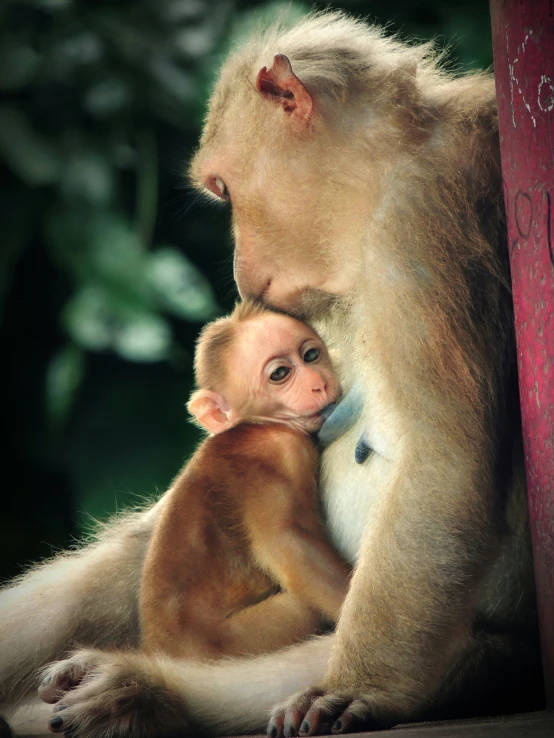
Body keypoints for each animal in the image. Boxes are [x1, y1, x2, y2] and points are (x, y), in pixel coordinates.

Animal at [140, 302, 348, 660]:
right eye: (279, 374)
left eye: (311, 355)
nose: (319, 383)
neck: (257, 424)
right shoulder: (281, 450)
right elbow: (286, 544)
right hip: (238, 638)